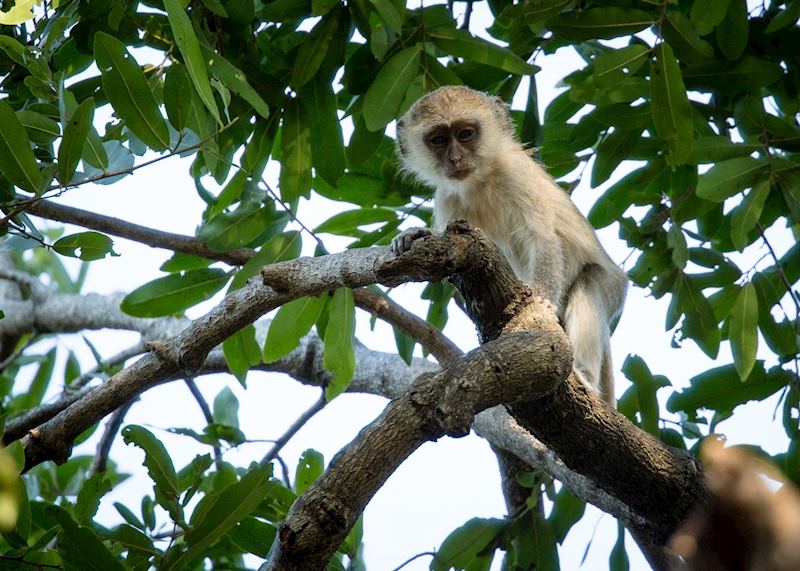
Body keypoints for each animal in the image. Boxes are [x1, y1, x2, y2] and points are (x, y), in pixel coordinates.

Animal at [391, 86, 628, 404]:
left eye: (465, 134)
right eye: (439, 140)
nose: (455, 158)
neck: (480, 180)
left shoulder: (514, 173)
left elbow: (542, 238)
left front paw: (539, 303)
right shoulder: (448, 198)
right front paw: (418, 234)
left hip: (613, 287)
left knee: (590, 282)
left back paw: (584, 374)